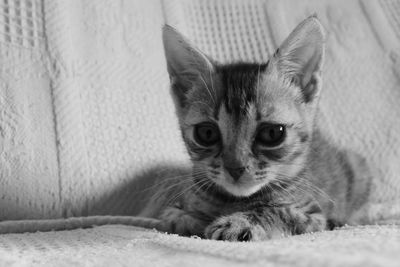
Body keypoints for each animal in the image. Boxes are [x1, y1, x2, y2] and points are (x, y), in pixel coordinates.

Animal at [140, 16, 372, 243]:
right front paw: (194, 219)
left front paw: (238, 222)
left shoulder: (313, 215)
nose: (235, 169)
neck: (235, 200)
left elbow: (279, 211)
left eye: (272, 133)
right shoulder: (175, 206)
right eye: (207, 133)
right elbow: (174, 216)